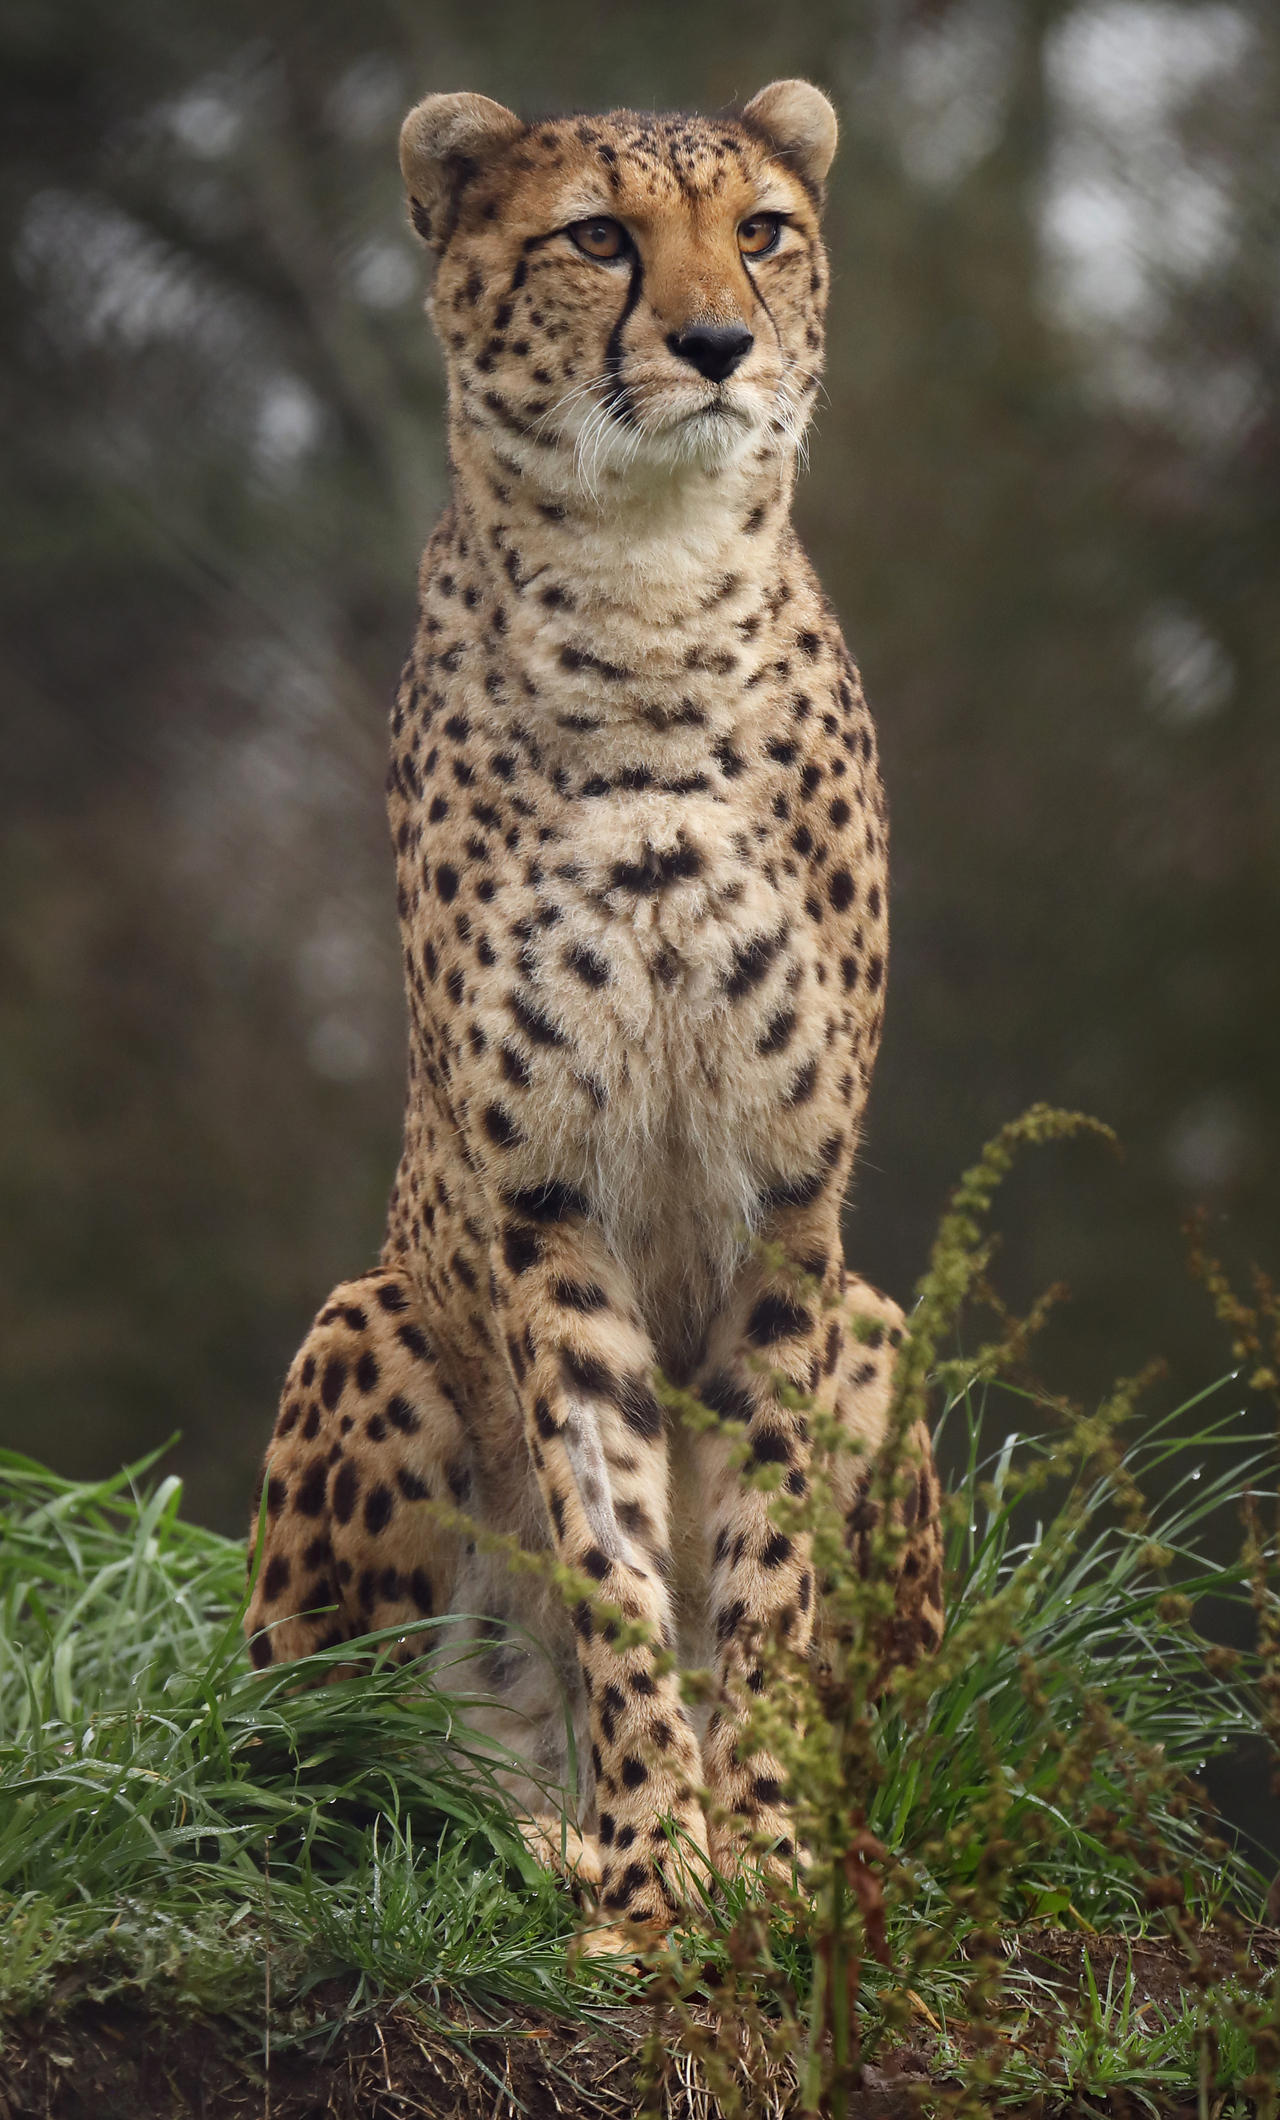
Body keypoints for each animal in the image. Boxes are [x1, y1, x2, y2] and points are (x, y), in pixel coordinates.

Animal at [244, 76, 945, 1932]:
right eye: (598, 238)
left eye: (762, 230)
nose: (714, 343)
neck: (654, 594)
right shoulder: (546, 1201)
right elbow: (606, 1533)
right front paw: (647, 1876)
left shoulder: (791, 1204)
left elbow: (760, 1567)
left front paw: (759, 1855)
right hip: (374, 1319)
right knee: (312, 1778)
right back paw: (519, 1829)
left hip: (880, 1326)